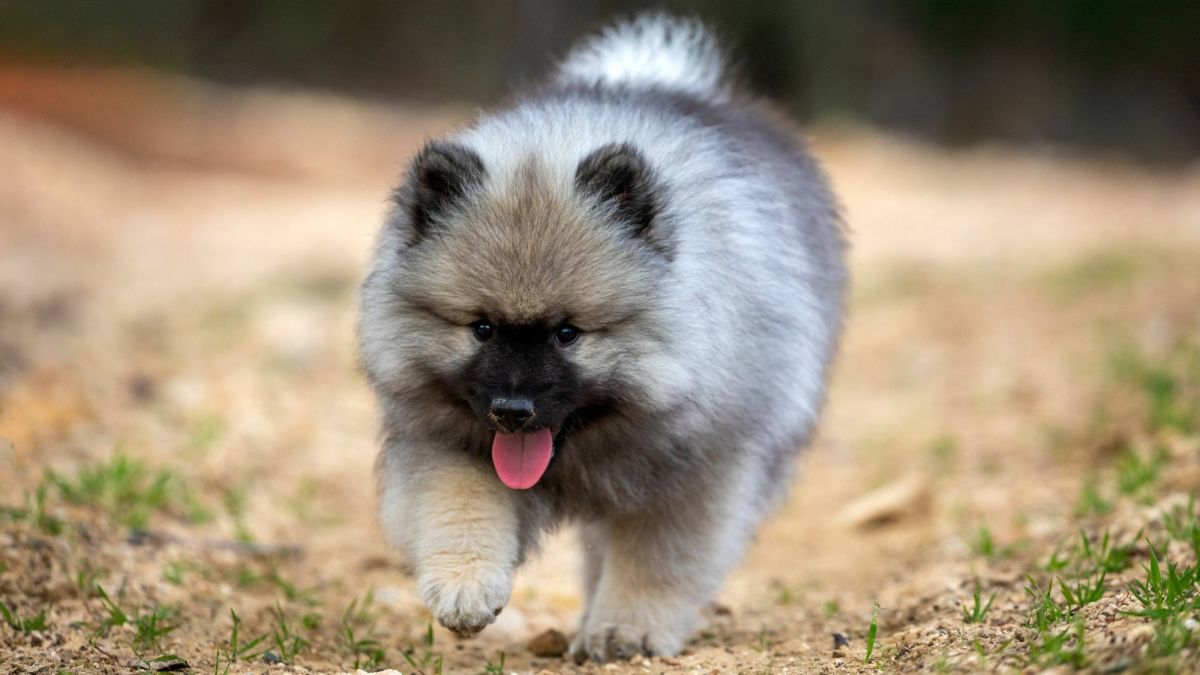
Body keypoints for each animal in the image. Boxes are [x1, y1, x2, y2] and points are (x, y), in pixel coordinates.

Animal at [360, 13, 849, 658]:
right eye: (482, 329)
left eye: (568, 333)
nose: (512, 410)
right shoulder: (445, 443)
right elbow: (460, 508)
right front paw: (465, 586)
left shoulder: (700, 470)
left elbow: (654, 559)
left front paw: (627, 629)